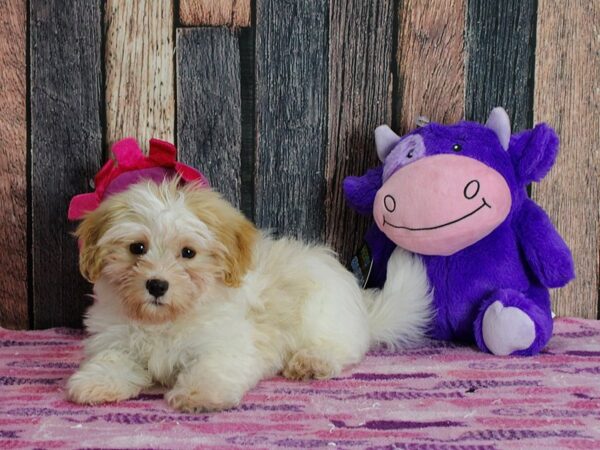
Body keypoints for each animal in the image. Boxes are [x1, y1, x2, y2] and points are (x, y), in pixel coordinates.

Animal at [67, 178, 432, 412]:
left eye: (188, 253)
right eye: (137, 248)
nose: (157, 285)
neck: (166, 320)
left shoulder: (225, 344)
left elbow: (212, 366)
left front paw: (200, 393)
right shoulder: (116, 338)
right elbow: (111, 359)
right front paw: (95, 383)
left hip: (322, 314)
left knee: (342, 347)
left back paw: (312, 361)